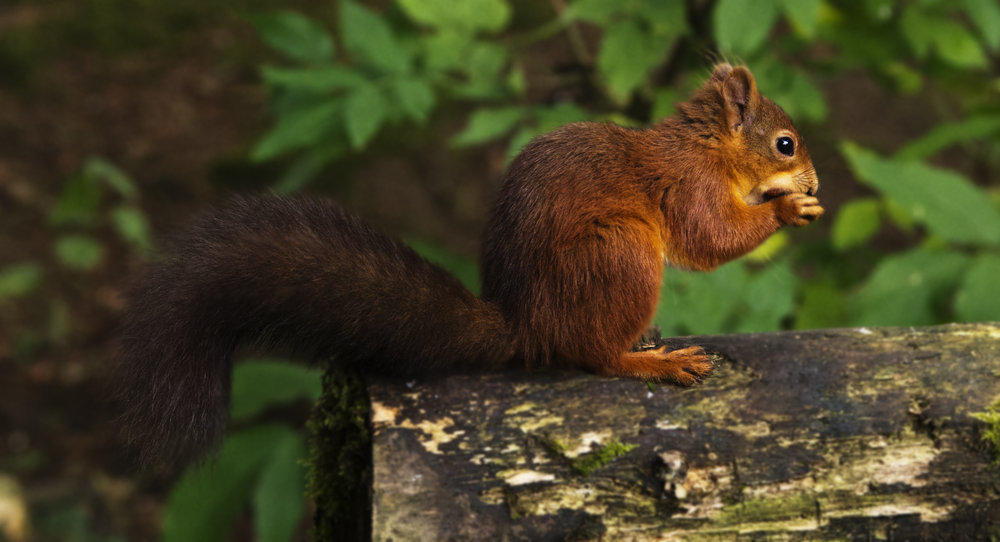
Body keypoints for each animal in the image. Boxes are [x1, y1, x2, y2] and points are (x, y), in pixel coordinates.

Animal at [116, 64, 822, 469]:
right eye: (785, 144)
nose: (814, 181)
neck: (707, 147)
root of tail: (527, 325)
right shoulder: (689, 186)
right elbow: (710, 239)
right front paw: (789, 208)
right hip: (619, 252)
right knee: (594, 358)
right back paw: (654, 361)